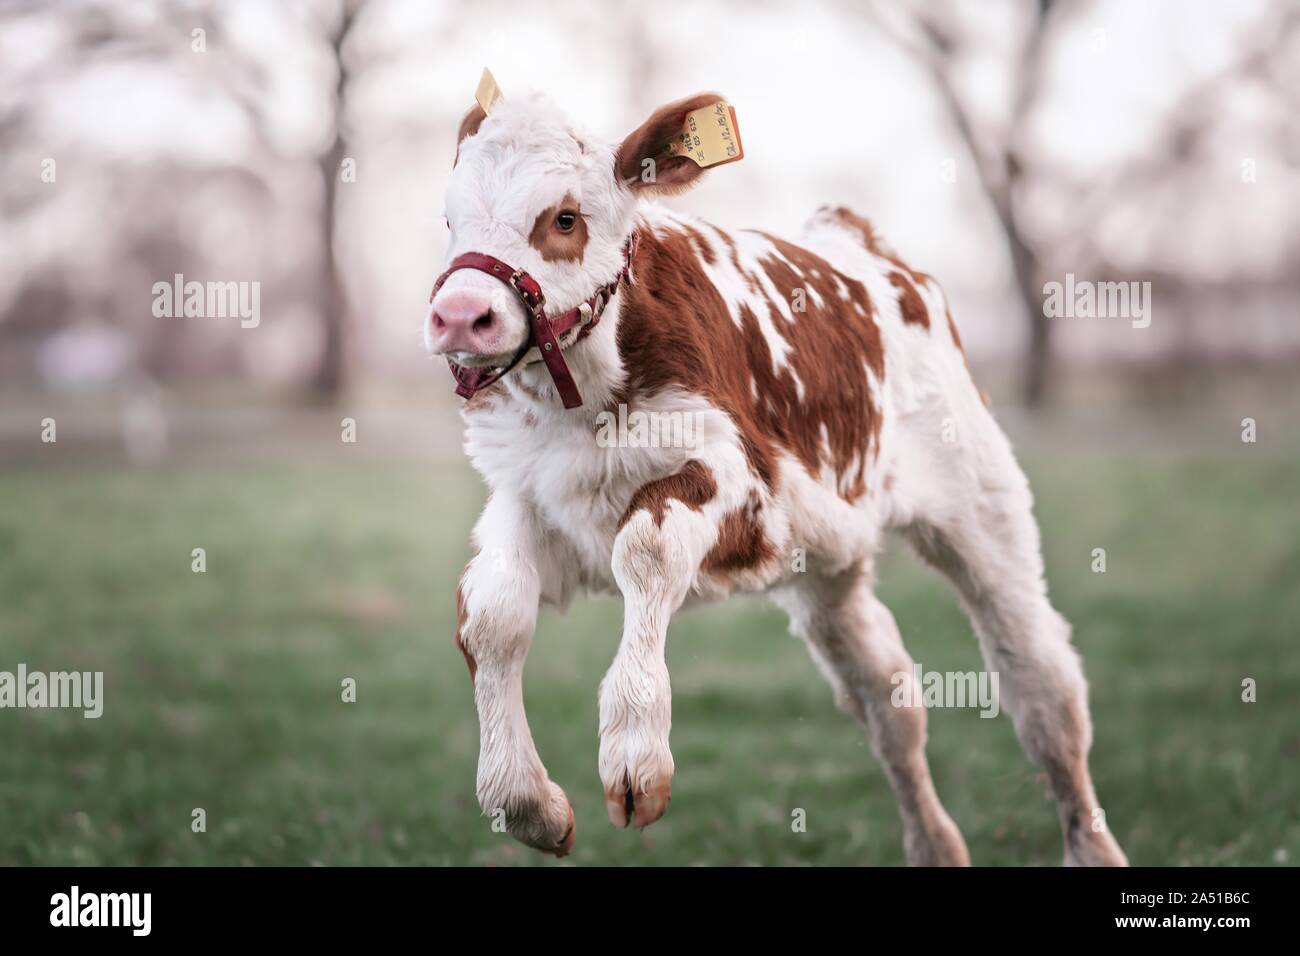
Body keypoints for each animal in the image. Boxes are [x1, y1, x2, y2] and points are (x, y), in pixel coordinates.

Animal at [426, 89, 1128, 868]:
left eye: (565, 218)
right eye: (449, 219)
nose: (460, 315)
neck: (584, 401)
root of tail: (861, 244)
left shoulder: (745, 488)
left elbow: (646, 546)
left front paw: (635, 754)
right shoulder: (527, 493)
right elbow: (491, 612)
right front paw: (526, 800)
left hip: (982, 504)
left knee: (1042, 686)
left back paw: (1092, 842)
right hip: (828, 565)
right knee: (887, 698)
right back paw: (935, 845)